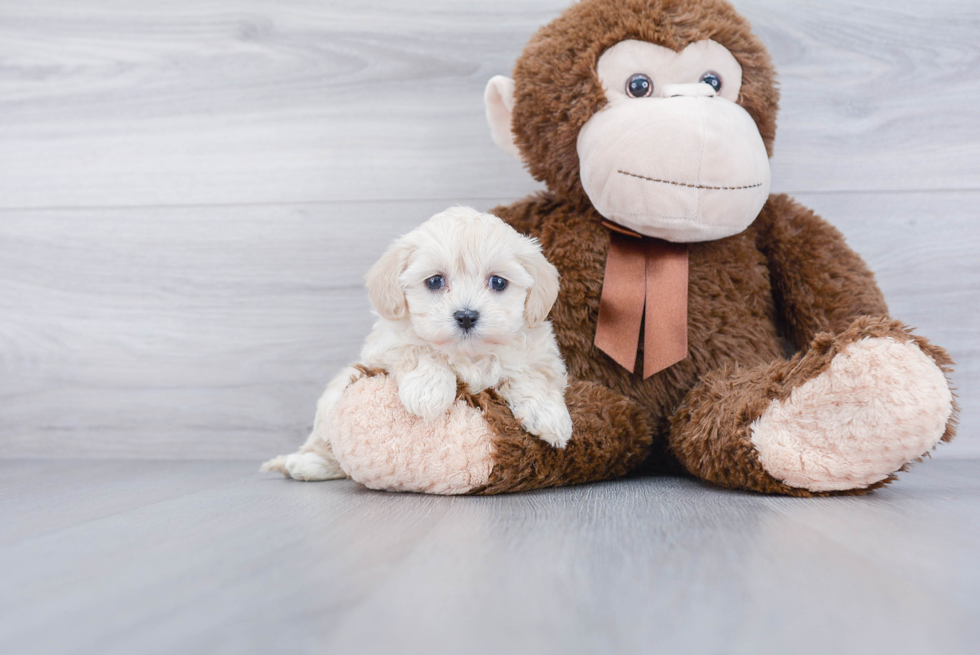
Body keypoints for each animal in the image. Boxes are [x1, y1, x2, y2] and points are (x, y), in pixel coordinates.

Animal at [264, 208, 580, 484]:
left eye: (499, 282)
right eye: (435, 281)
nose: (466, 316)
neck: (468, 354)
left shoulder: (539, 356)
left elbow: (533, 377)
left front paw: (550, 417)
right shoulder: (386, 346)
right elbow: (418, 350)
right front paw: (428, 391)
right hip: (331, 403)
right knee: (327, 444)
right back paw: (307, 464)